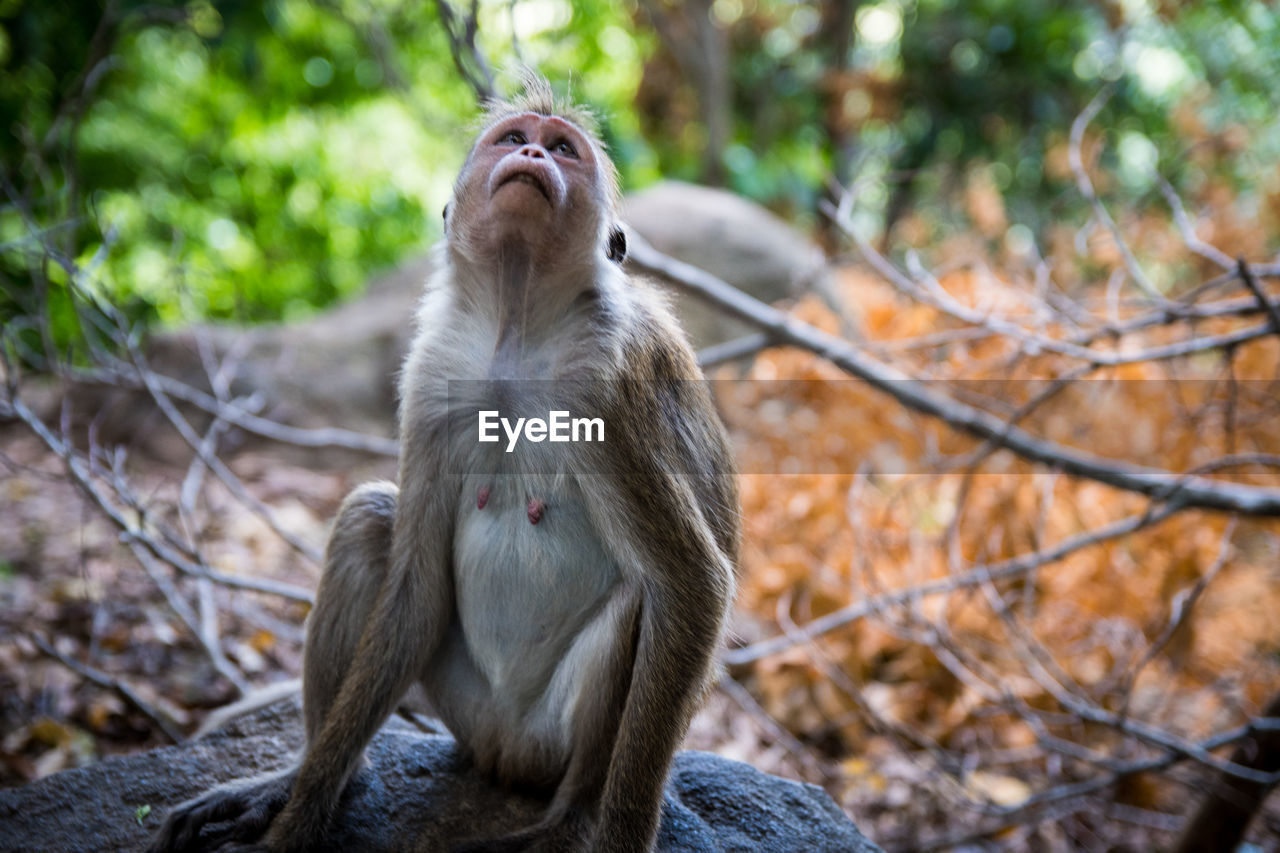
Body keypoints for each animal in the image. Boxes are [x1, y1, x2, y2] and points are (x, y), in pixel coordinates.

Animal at [147, 78, 742, 850]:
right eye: (514, 138)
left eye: (563, 149)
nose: (530, 154)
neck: (517, 323)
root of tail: (500, 755)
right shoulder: (431, 378)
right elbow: (415, 588)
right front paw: (301, 811)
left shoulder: (610, 389)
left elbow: (692, 584)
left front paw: (615, 836)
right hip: (464, 706)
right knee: (372, 519)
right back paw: (319, 776)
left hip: (546, 741)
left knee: (644, 596)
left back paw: (573, 817)